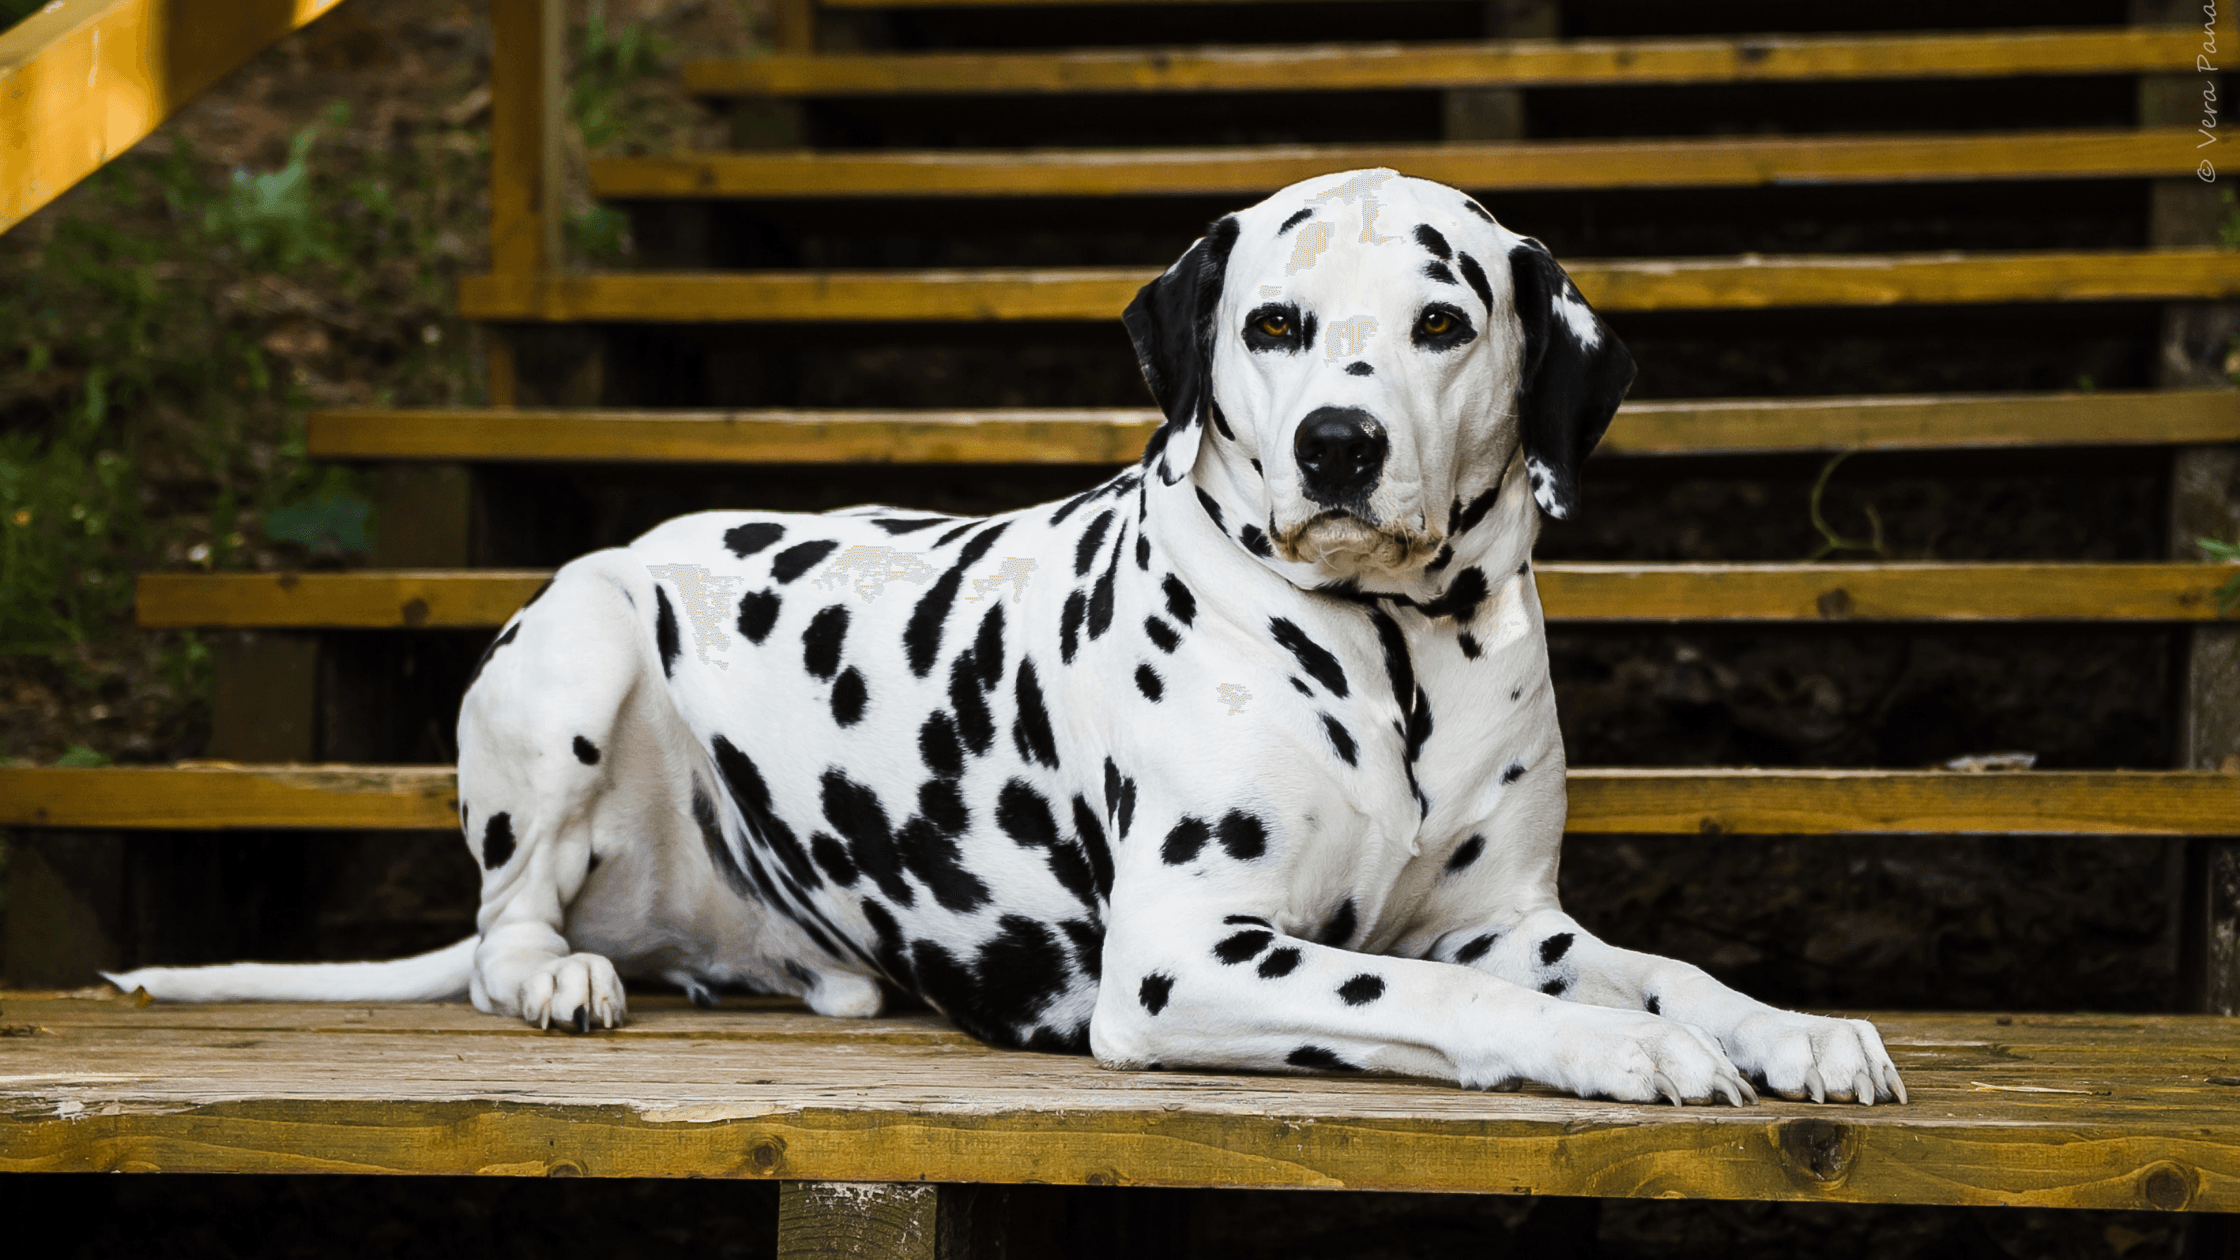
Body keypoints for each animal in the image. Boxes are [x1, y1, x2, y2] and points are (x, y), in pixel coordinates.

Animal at [113, 171, 1899, 1103]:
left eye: (1446, 323)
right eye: (1276, 324)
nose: (1338, 445)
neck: (1388, 656)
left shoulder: (1510, 925)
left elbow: (1663, 968)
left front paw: (1788, 1026)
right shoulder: (1186, 959)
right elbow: (1445, 1003)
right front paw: (1622, 1051)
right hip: (581, 637)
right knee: (499, 932)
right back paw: (556, 974)